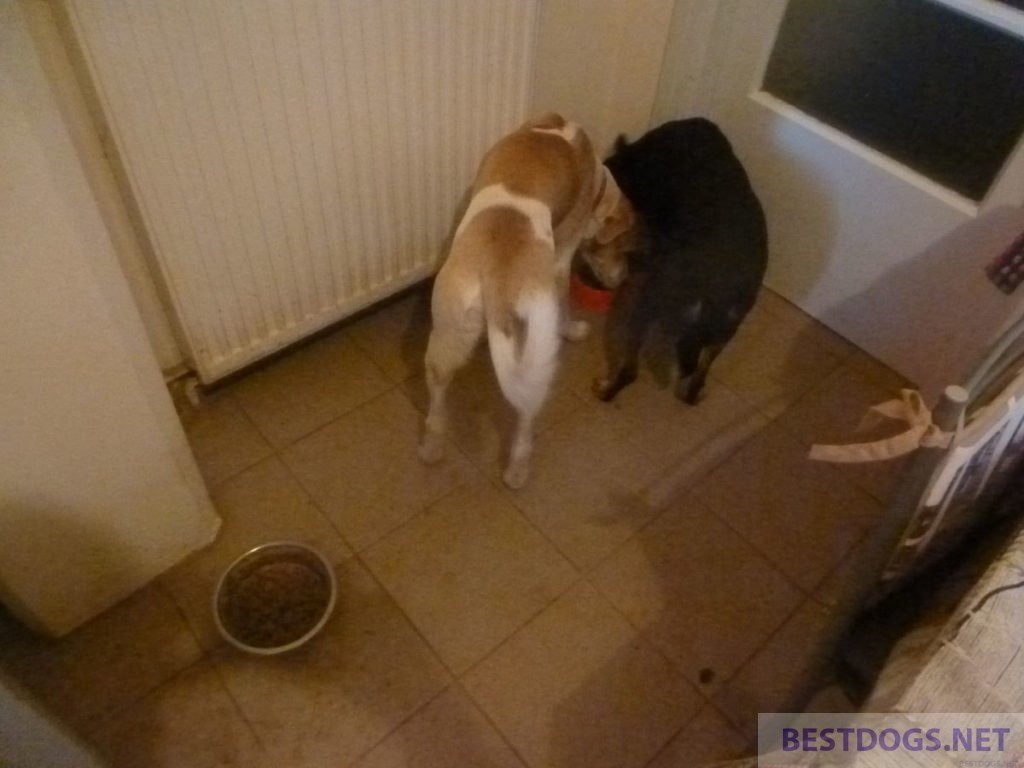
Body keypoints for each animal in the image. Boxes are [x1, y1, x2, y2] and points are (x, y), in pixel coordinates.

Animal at [417, 113, 630, 487]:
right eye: (620, 247)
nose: (622, 278)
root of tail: (496, 276)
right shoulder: (563, 258)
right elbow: (566, 307)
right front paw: (573, 329)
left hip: (446, 337)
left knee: (437, 403)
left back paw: (432, 449)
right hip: (535, 354)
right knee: (526, 417)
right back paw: (518, 469)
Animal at [581, 117, 765, 405]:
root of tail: (711, 297)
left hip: (646, 307)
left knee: (630, 371)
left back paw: (606, 390)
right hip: (725, 331)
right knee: (700, 373)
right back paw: (694, 394)